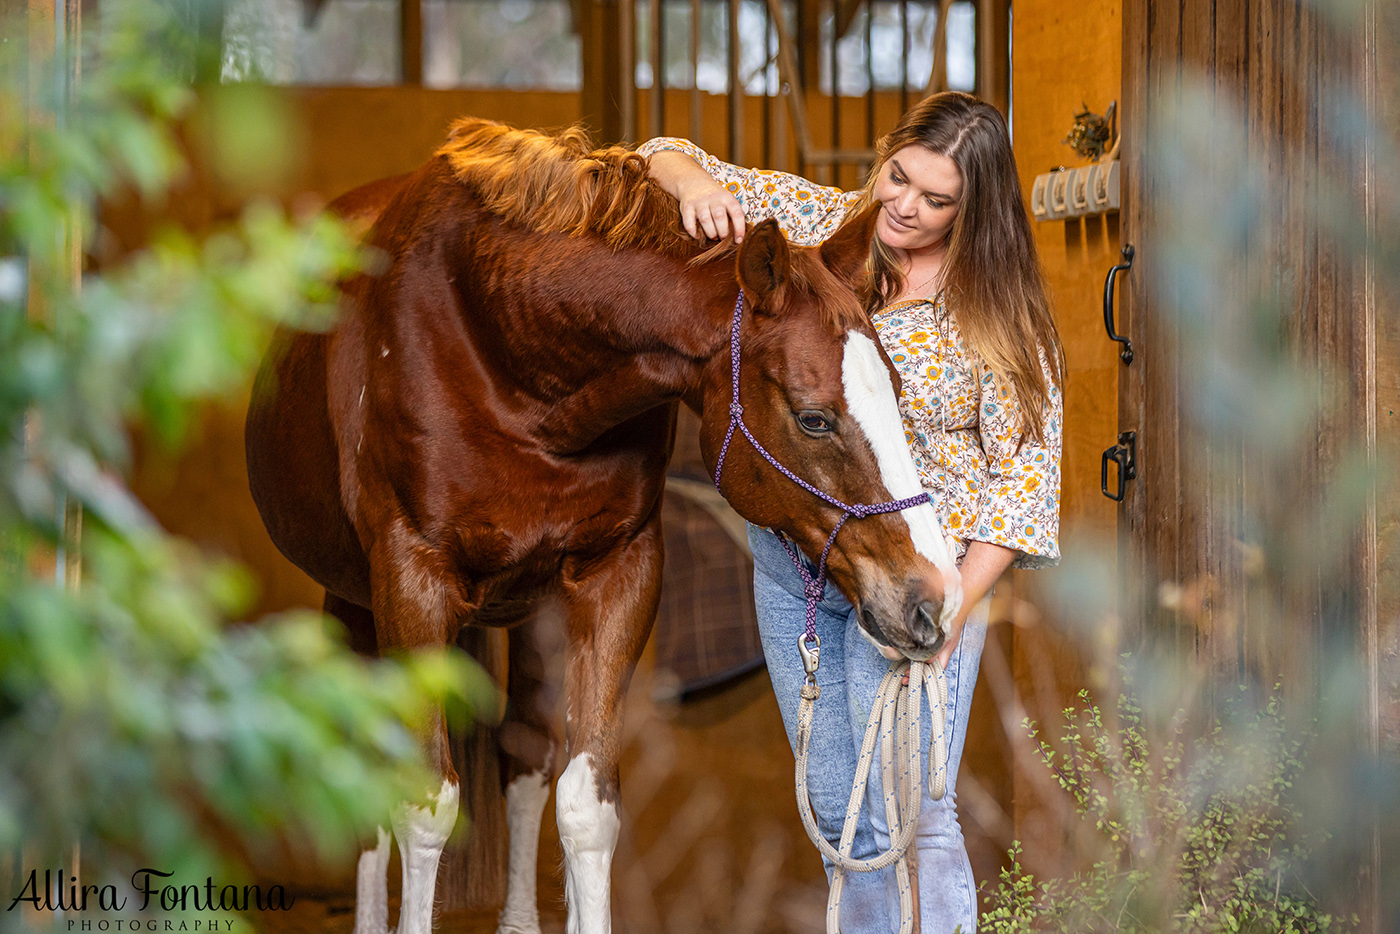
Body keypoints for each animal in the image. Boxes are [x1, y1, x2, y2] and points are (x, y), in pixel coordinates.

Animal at [243, 120, 963, 934]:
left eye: (898, 388)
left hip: (526, 609)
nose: (934, 596)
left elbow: (585, 809)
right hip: (353, 603)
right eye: (813, 418)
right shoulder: (410, 581)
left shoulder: (617, 573)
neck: (506, 350)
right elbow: (425, 808)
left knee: (523, 757)